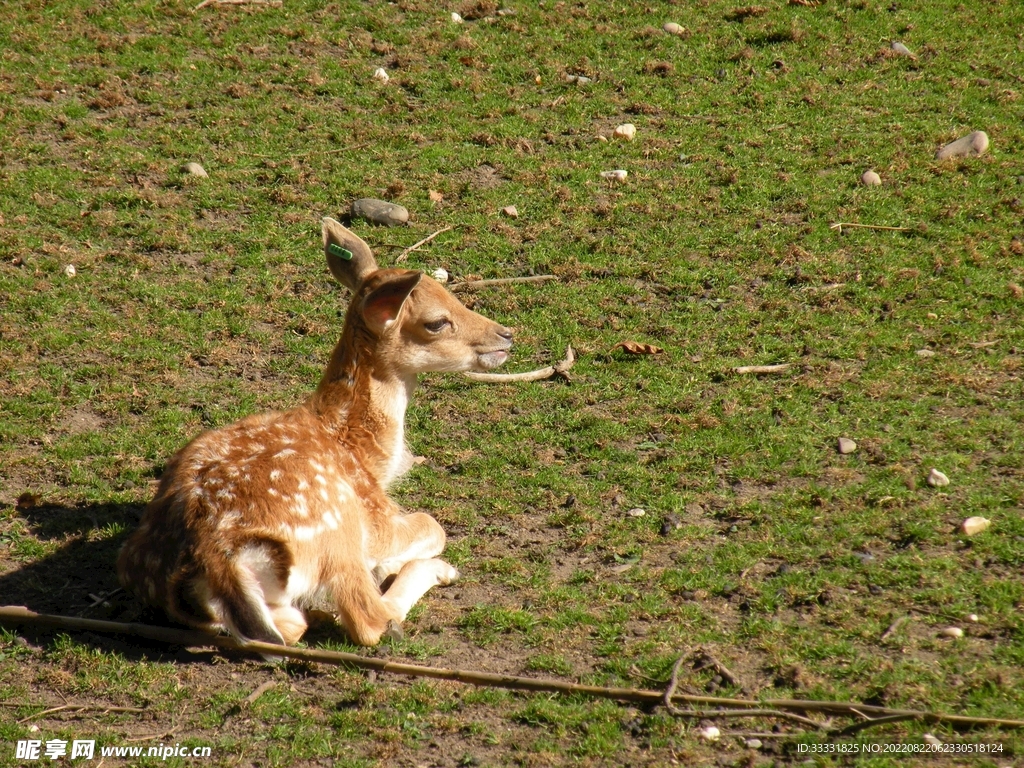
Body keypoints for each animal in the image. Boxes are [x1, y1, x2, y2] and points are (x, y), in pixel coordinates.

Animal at [116, 217, 513, 647]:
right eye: (437, 321)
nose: (506, 335)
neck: (361, 452)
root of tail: (216, 560)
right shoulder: (375, 517)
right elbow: (432, 525)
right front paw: (394, 561)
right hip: (337, 529)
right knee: (369, 620)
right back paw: (433, 573)